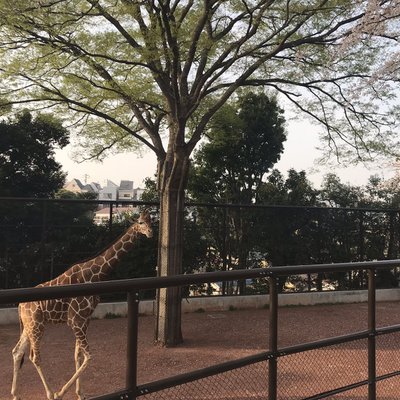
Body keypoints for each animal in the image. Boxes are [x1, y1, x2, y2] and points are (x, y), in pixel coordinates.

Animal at [10, 209, 152, 400]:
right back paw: (50, 393)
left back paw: (15, 394)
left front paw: (80, 393)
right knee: (34, 356)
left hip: (29, 325)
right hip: (37, 325)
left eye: (150, 221)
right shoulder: (75, 320)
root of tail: (20, 306)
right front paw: (62, 392)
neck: (95, 275)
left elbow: (78, 355)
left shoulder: (85, 320)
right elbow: (88, 356)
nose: (150, 233)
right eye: (141, 222)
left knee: (17, 351)